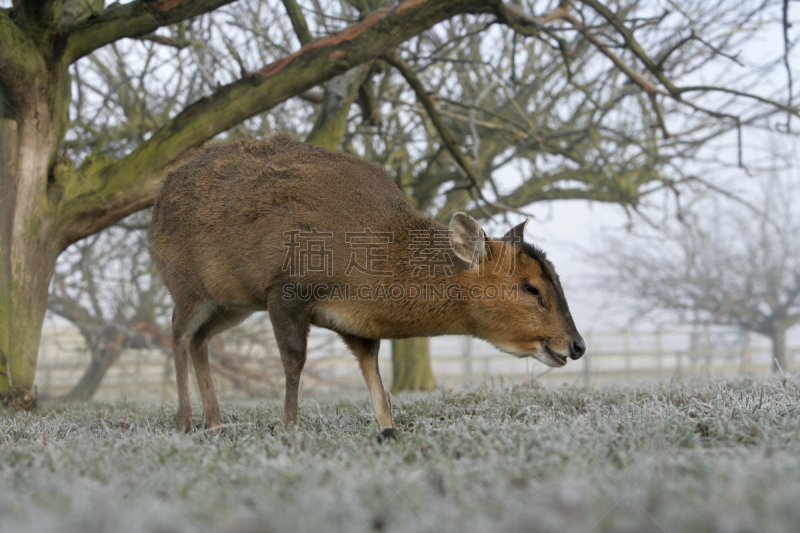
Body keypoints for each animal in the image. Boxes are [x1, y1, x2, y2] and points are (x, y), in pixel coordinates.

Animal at [150, 132, 584, 436]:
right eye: (531, 288)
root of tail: (156, 205)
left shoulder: (357, 324)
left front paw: (388, 429)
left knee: (199, 339)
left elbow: (374, 374)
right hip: (186, 284)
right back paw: (185, 423)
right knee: (177, 334)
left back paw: (215, 423)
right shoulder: (285, 288)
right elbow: (294, 360)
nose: (577, 345)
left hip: (233, 303)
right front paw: (289, 429)